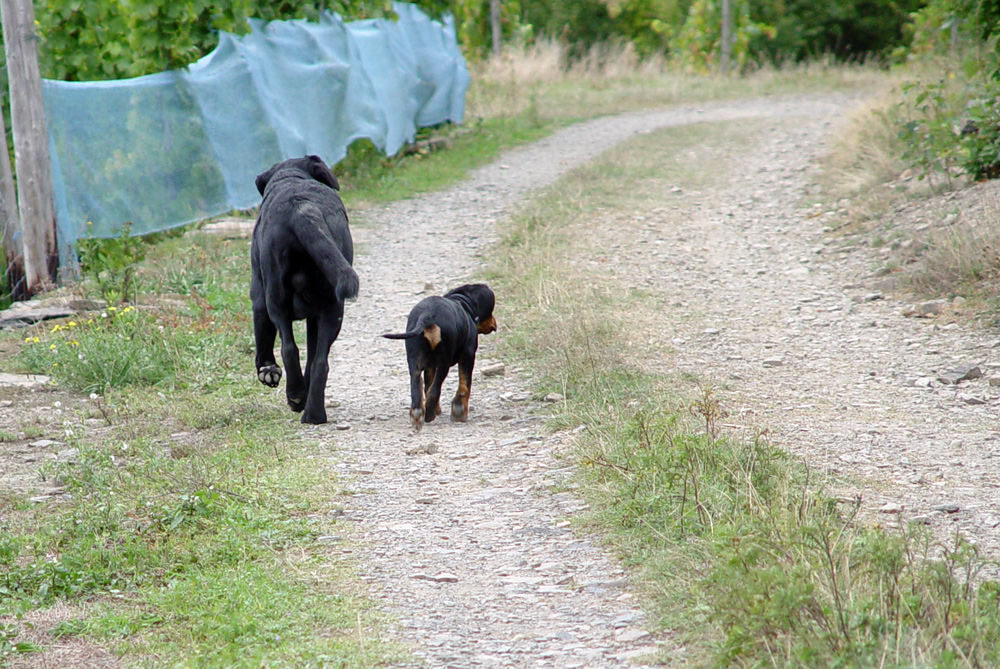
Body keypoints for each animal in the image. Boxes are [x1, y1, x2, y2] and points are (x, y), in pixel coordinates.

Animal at [250, 155, 360, 422]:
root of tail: (303, 209)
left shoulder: (258, 298)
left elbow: (264, 339)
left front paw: (267, 370)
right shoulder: (314, 318)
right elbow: (313, 357)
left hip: (274, 299)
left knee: (289, 349)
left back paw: (296, 396)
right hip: (332, 308)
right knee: (320, 362)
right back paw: (313, 413)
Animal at [382, 282, 496, 428]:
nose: (494, 323)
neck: (463, 303)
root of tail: (427, 315)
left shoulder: (430, 366)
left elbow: (427, 384)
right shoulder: (468, 354)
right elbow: (464, 385)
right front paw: (459, 412)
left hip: (415, 362)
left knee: (417, 388)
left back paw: (418, 413)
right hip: (444, 363)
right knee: (434, 391)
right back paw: (429, 415)